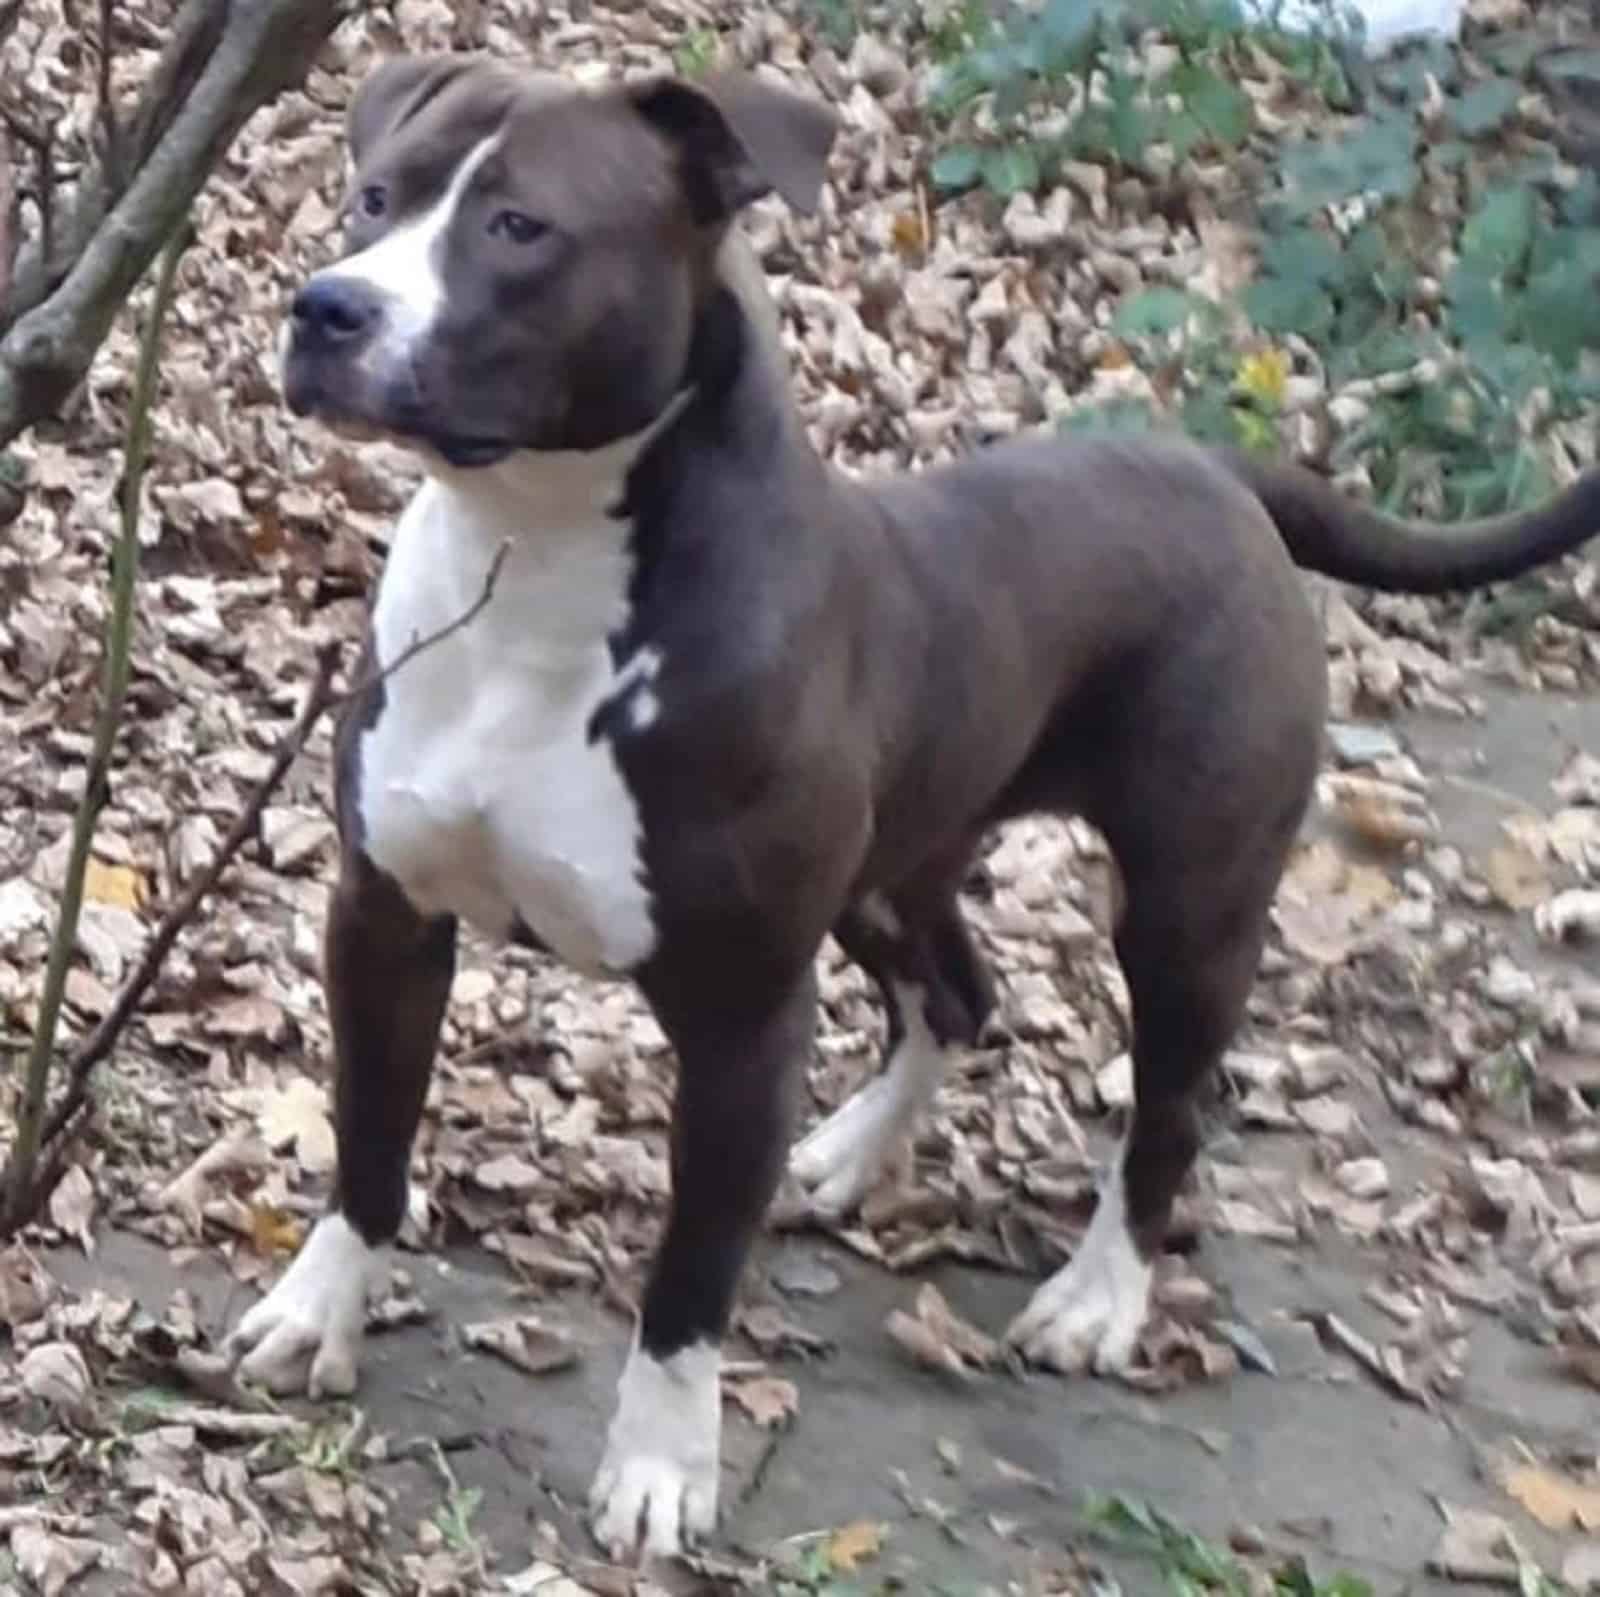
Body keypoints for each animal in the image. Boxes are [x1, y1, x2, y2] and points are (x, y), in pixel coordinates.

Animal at [228, 53, 1600, 1574]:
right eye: (375, 196)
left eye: (521, 228)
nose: (328, 305)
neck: (533, 559)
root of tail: (1223, 476)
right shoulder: (386, 919)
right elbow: (368, 1140)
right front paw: (315, 1312)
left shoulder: (742, 1015)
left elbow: (690, 1274)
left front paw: (661, 1464)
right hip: (896, 869)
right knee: (956, 990)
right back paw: (846, 1153)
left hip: (1189, 907)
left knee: (1167, 1107)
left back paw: (1099, 1297)